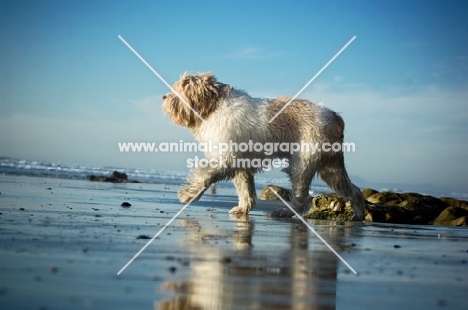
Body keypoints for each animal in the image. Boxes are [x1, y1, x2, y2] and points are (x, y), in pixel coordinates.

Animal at [164, 72, 366, 220]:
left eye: (176, 90)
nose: (164, 96)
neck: (214, 107)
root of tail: (335, 117)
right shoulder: (241, 165)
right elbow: (245, 190)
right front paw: (243, 208)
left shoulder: (226, 159)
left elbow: (204, 177)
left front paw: (187, 195)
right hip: (331, 168)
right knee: (353, 190)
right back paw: (358, 215)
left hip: (302, 164)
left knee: (302, 197)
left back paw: (284, 212)